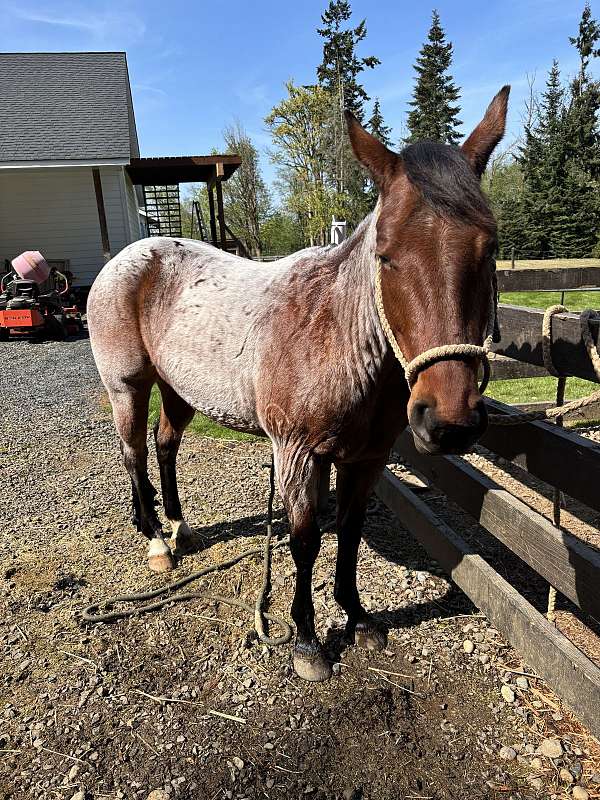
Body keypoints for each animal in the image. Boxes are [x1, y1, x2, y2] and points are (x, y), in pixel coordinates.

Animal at [87, 86, 509, 682]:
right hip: (128, 386)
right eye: (385, 255)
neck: (337, 336)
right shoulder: (298, 454)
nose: (449, 421)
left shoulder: (365, 458)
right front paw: (307, 640)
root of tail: (125, 261)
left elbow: (350, 533)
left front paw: (357, 617)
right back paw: (154, 540)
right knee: (133, 453)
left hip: (177, 390)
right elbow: (305, 540)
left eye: (489, 247)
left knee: (165, 446)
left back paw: (179, 526)